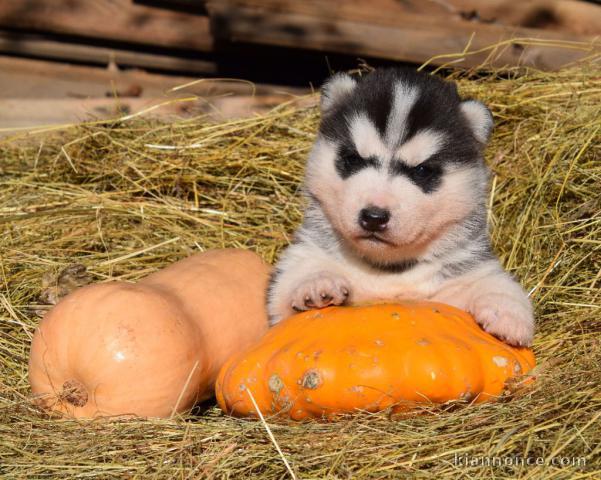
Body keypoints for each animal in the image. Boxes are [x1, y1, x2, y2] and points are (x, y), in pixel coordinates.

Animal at [268, 68, 536, 344]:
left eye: (422, 170)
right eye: (353, 159)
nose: (374, 217)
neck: (387, 270)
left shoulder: (462, 276)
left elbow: (493, 282)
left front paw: (507, 313)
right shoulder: (302, 258)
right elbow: (294, 280)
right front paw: (317, 282)